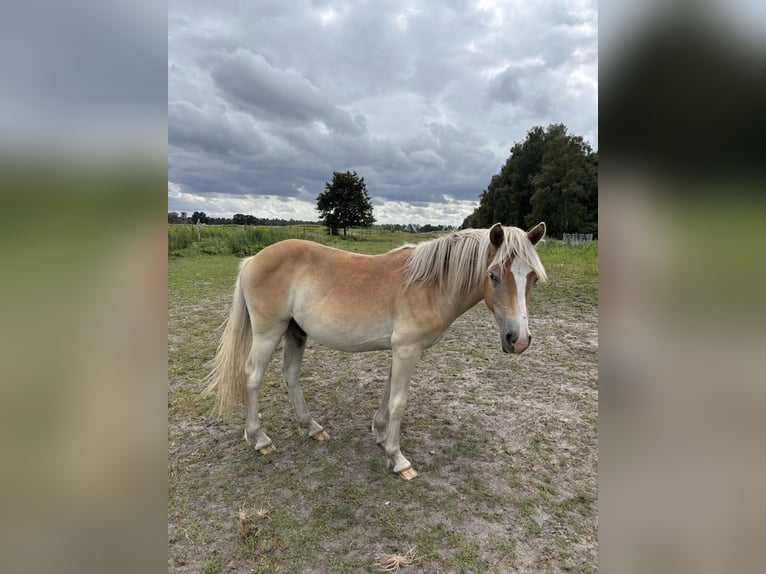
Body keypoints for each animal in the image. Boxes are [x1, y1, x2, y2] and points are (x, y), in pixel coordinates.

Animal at [204, 222, 547, 480]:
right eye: (494, 275)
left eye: (531, 277)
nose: (518, 339)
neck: (430, 284)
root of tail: (253, 259)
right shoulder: (407, 349)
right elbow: (399, 401)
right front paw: (399, 459)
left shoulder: (401, 350)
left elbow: (387, 393)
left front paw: (381, 435)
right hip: (268, 332)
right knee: (252, 377)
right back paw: (259, 439)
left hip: (295, 332)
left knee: (291, 374)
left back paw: (311, 427)